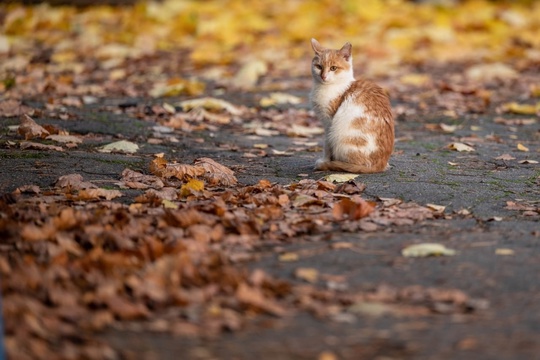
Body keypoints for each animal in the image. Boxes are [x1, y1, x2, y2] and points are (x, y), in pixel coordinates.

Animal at [310, 38, 394, 174]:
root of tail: (380, 165)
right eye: (319, 67)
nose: (323, 76)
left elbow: (327, 144)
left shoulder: (329, 121)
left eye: (333, 68)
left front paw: (325, 160)